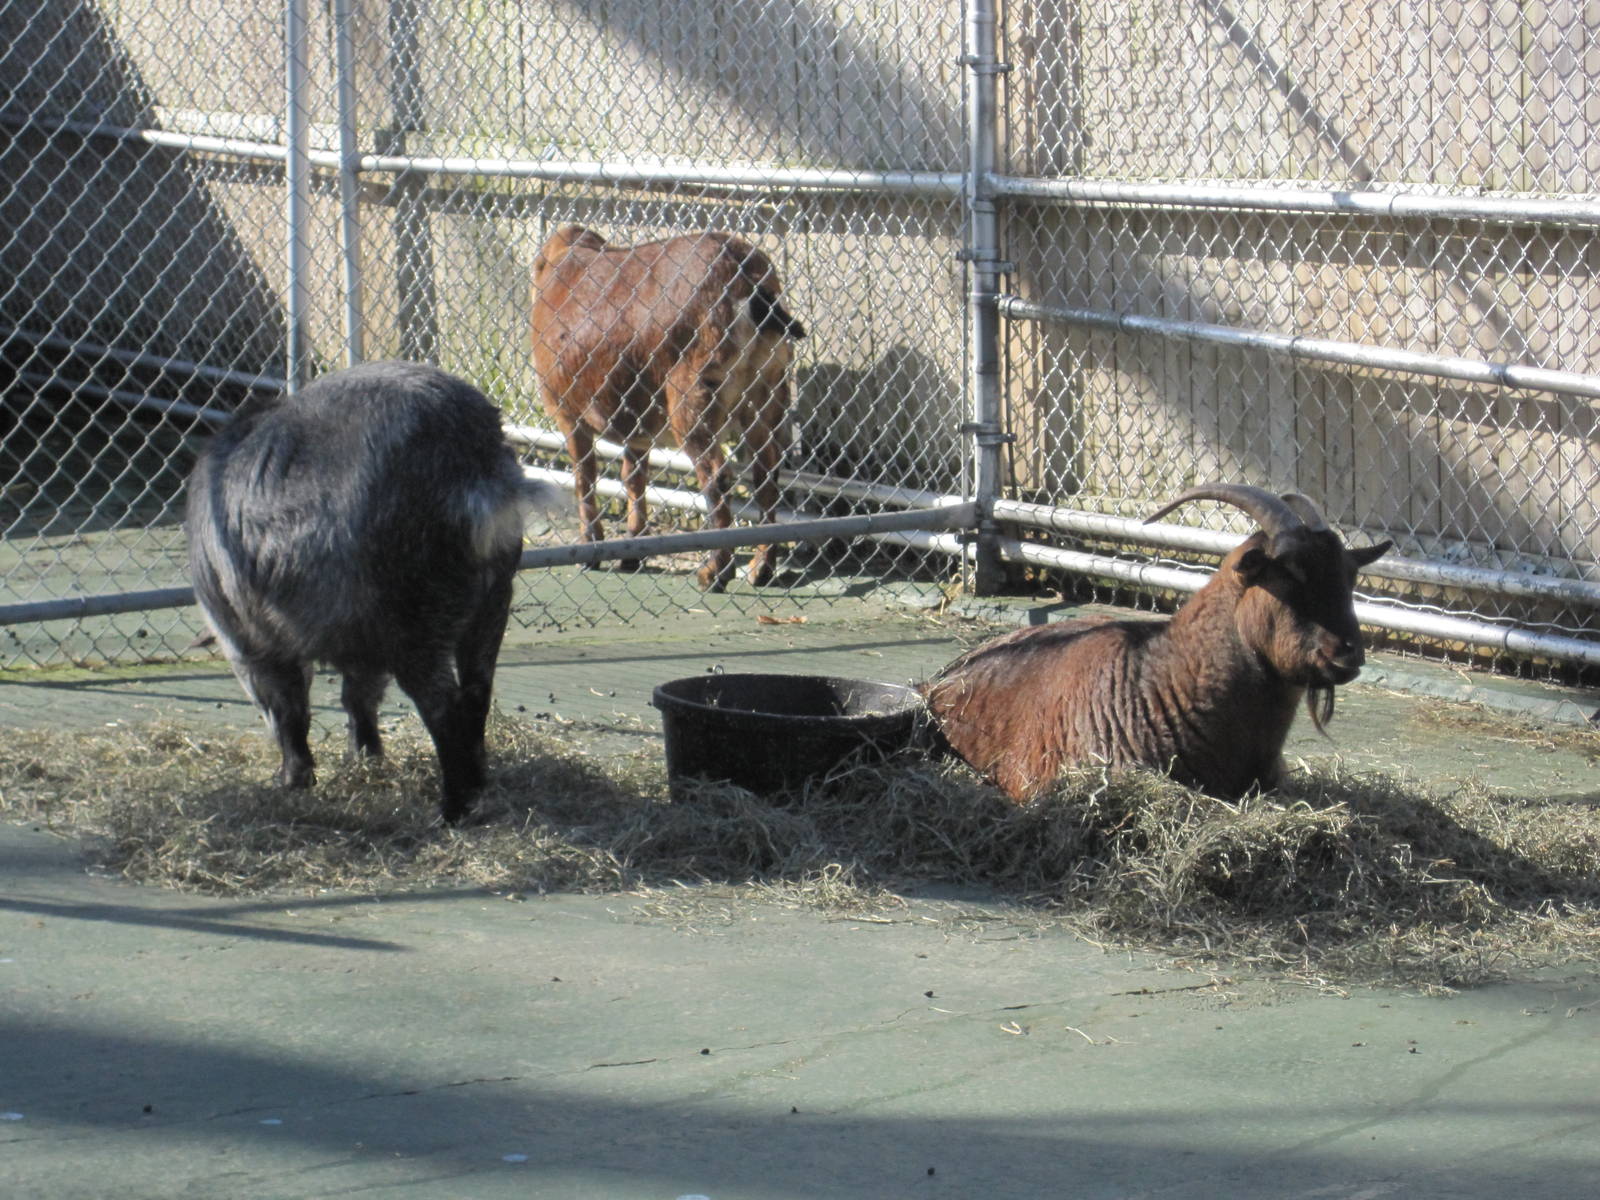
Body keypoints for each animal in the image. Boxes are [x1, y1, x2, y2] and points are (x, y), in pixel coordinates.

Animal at [186, 360, 561, 824]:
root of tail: (476, 467)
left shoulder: (250, 642)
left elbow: (291, 707)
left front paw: (291, 781)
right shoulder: (362, 645)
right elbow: (357, 697)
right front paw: (366, 760)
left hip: (414, 619)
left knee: (442, 707)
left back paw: (449, 812)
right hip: (493, 599)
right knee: (476, 691)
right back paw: (478, 788)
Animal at [530, 224, 806, 591]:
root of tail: (746, 280)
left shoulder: (568, 413)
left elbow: (584, 477)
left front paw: (590, 548)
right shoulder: (637, 423)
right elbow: (633, 478)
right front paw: (633, 549)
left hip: (692, 396)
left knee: (716, 476)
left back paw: (715, 571)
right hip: (766, 393)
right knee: (765, 473)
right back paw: (761, 566)